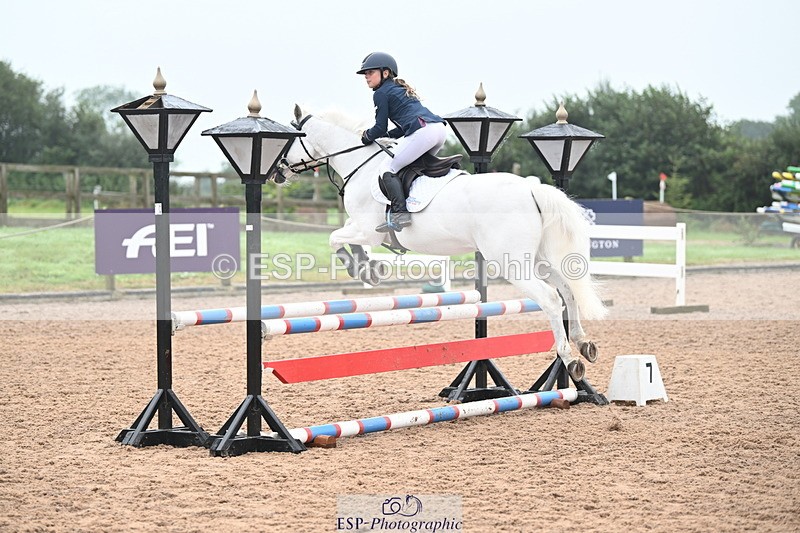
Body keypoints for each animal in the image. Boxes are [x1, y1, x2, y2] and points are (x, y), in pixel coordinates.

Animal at [276, 105, 607, 382]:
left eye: (292, 139)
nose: (278, 172)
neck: (361, 163)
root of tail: (530, 189)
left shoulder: (368, 230)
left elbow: (335, 239)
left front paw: (362, 269)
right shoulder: (363, 230)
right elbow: (345, 237)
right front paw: (369, 269)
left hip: (511, 263)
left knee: (551, 299)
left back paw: (569, 358)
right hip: (536, 258)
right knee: (567, 291)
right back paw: (583, 342)